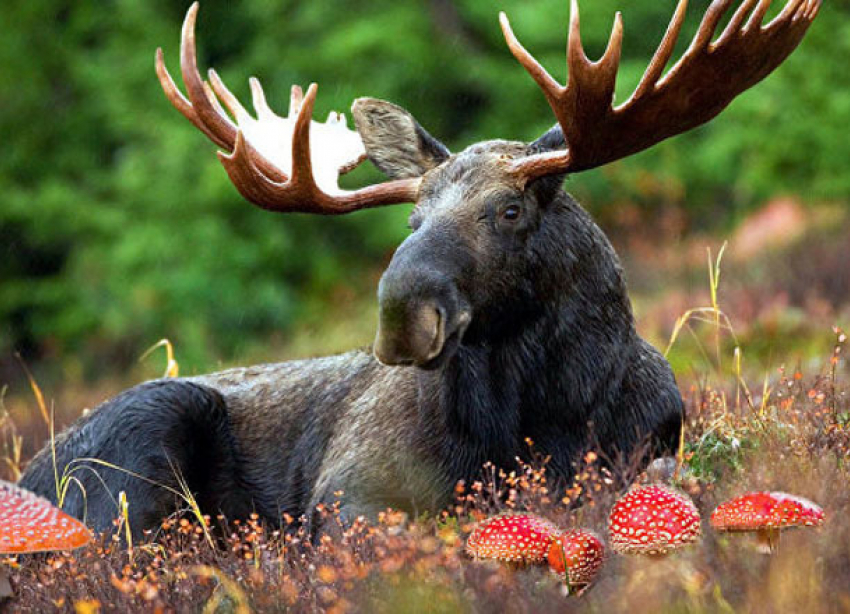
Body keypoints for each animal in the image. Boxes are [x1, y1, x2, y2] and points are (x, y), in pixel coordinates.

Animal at [18, 0, 816, 540]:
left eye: (509, 210)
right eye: (412, 221)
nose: (402, 315)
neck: (541, 418)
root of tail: (25, 472)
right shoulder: (349, 492)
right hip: (134, 453)